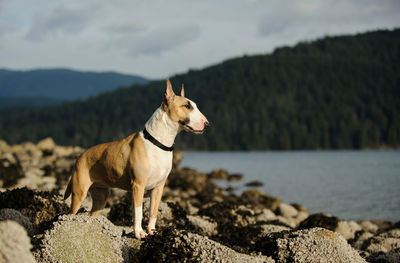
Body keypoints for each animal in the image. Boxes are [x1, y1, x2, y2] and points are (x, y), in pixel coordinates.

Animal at [63, 80, 209, 239]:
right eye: (187, 106)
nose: (207, 124)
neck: (158, 142)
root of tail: (80, 156)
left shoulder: (158, 187)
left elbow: (153, 211)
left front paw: (151, 230)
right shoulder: (138, 186)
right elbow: (138, 212)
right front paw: (139, 233)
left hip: (101, 196)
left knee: (92, 213)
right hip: (79, 193)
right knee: (71, 212)